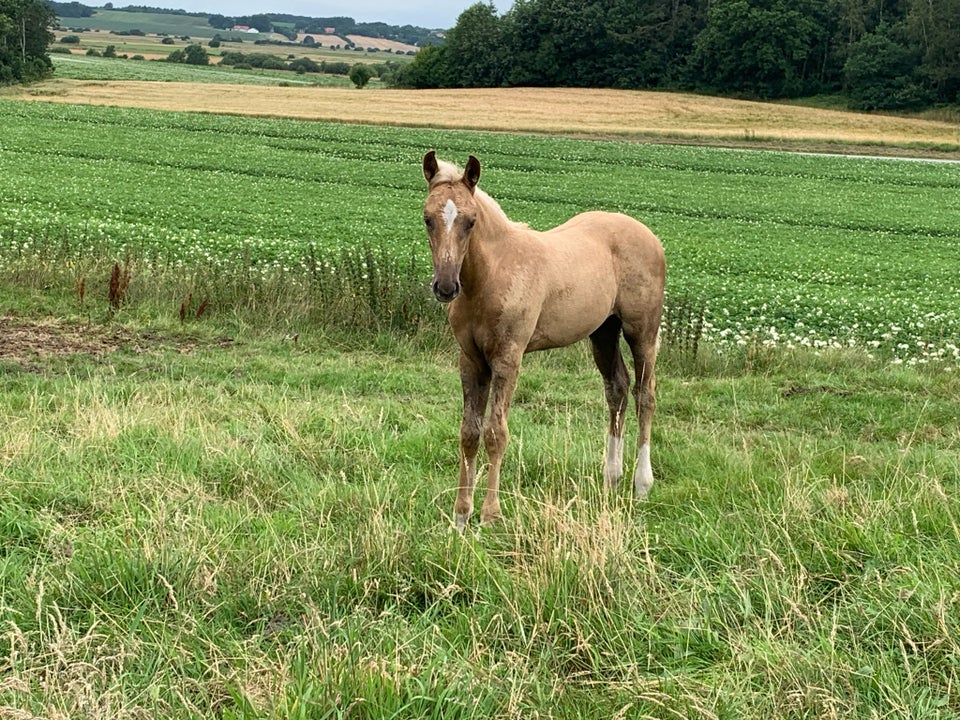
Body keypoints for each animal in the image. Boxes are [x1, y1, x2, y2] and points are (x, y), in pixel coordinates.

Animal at [424, 150, 664, 528]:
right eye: (428, 219)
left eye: (471, 221)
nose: (446, 287)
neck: (491, 276)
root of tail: (650, 236)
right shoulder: (471, 360)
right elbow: (469, 433)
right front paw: (461, 516)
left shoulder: (508, 357)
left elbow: (496, 433)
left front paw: (489, 515)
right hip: (603, 332)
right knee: (617, 389)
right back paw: (611, 478)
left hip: (642, 331)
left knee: (645, 395)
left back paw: (641, 485)